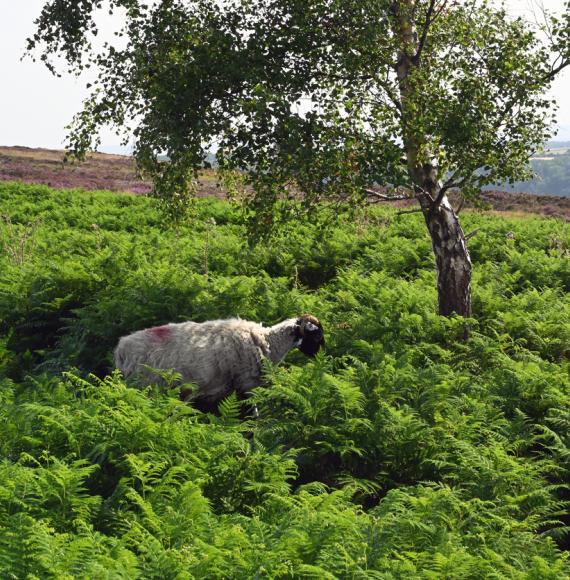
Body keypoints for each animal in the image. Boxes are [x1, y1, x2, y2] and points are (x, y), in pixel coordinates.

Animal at [113, 314, 322, 410]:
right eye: (317, 334)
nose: (319, 357)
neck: (268, 341)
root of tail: (121, 349)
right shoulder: (246, 384)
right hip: (145, 386)